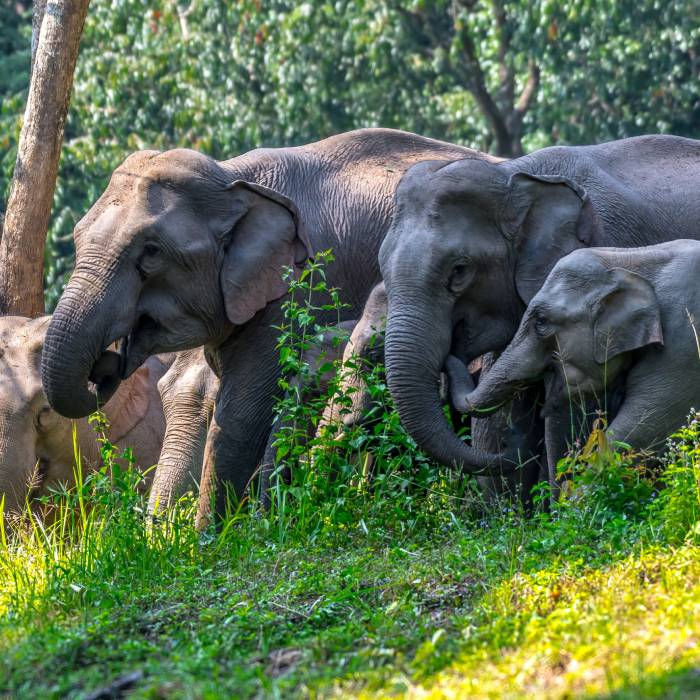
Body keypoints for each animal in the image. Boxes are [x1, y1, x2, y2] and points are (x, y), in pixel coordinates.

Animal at [40, 128, 481, 524]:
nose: (105, 364)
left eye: (150, 252)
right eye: (76, 238)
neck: (234, 179)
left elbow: (242, 413)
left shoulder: (299, 290)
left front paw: (211, 543)